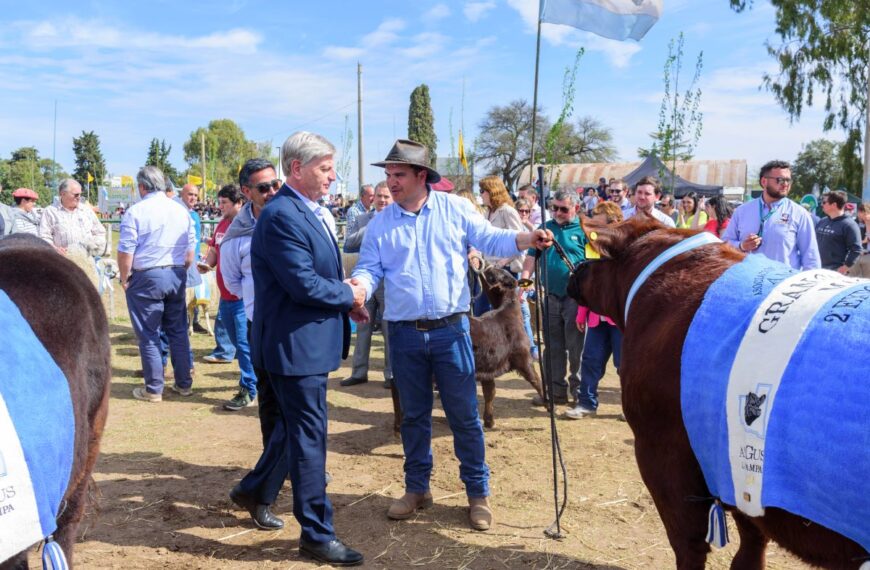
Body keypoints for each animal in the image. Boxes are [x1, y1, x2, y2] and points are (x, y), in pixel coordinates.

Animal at [564, 217, 870, 568]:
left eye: (593, 252)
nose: (576, 270)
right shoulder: (731, 465)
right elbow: (751, 541)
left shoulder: (661, 453)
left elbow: (689, 543)